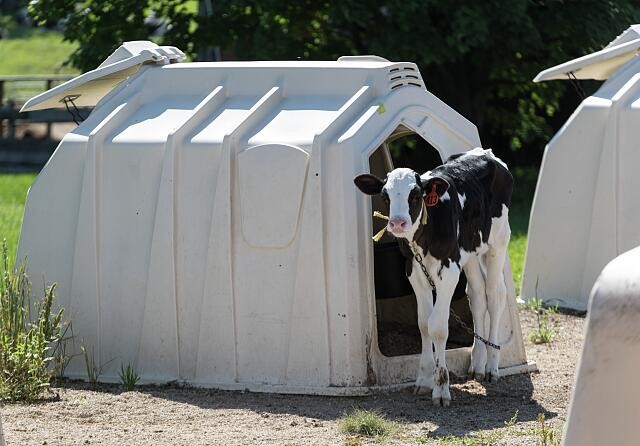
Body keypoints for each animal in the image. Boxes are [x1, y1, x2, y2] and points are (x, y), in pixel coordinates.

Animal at [354, 147, 513, 407]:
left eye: (415, 195)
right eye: (386, 196)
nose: (398, 223)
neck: (424, 237)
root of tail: (484, 152)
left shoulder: (449, 271)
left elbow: (437, 326)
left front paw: (441, 388)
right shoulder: (413, 271)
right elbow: (423, 324)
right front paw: (424, 380)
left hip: (498, 241)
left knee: (495, 294)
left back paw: (492, 367)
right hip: (469, 252)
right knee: (478, 295)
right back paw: (477, 365)